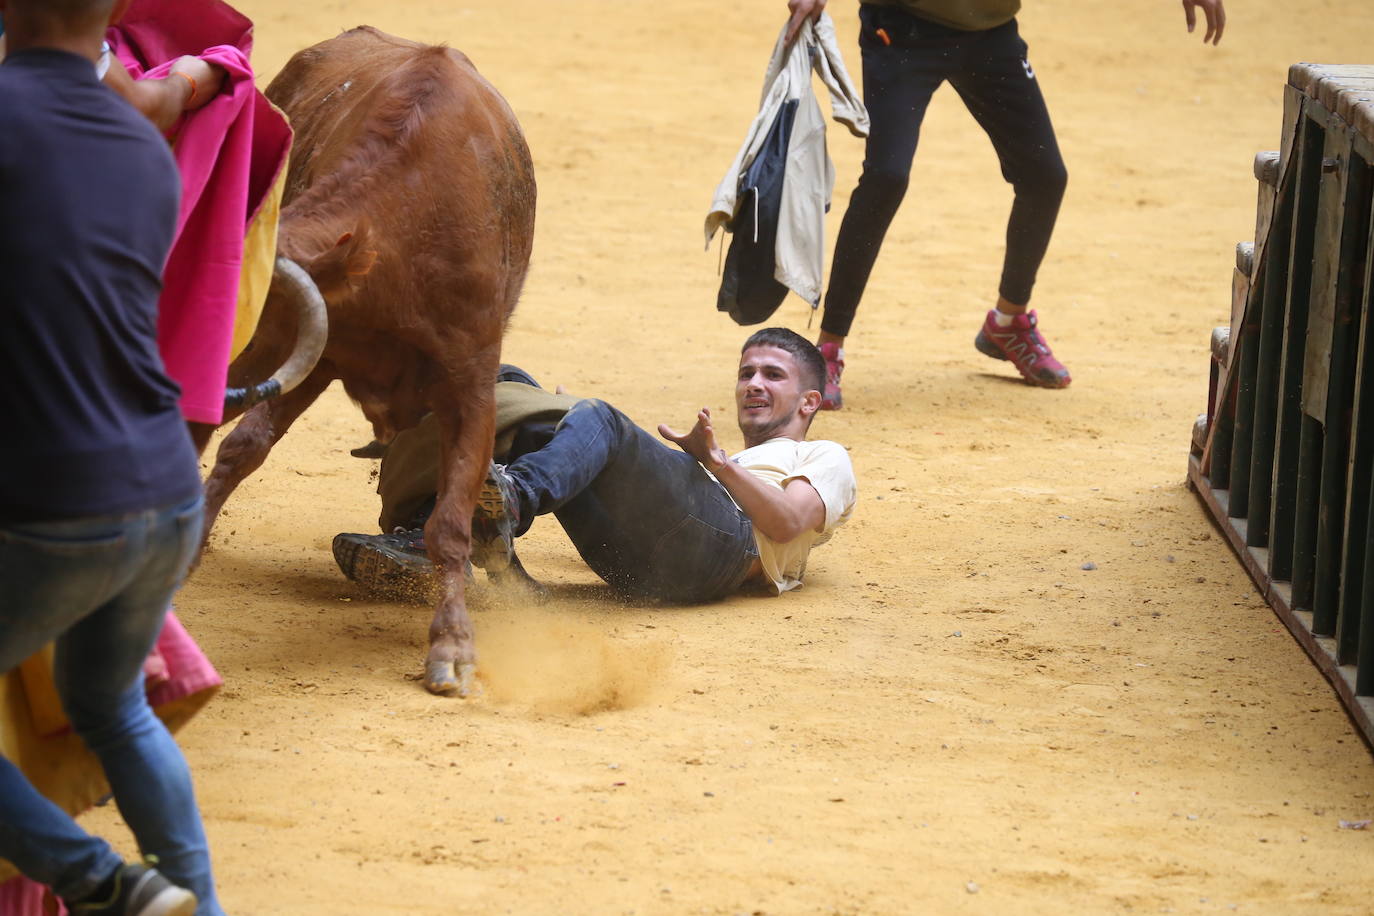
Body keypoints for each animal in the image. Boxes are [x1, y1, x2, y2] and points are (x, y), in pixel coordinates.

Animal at [203, 26, 535, 694]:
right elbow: (239, 445)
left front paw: (452, 647)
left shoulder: (471, 384)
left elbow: (449, 523)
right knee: (241, 447)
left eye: (242, 312)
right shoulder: (314, 357)